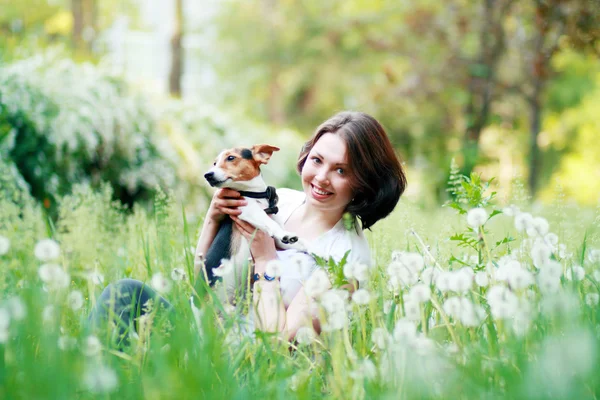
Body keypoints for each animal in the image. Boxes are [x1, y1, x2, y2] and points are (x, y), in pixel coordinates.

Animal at [203, 144, 300, 294]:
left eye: (230, 158)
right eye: (215, 163)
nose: (207, 175)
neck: (256, 195)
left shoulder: (279, 243)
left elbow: (304, 244)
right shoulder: (247, 210)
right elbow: (268, 222)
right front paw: (285, 234)